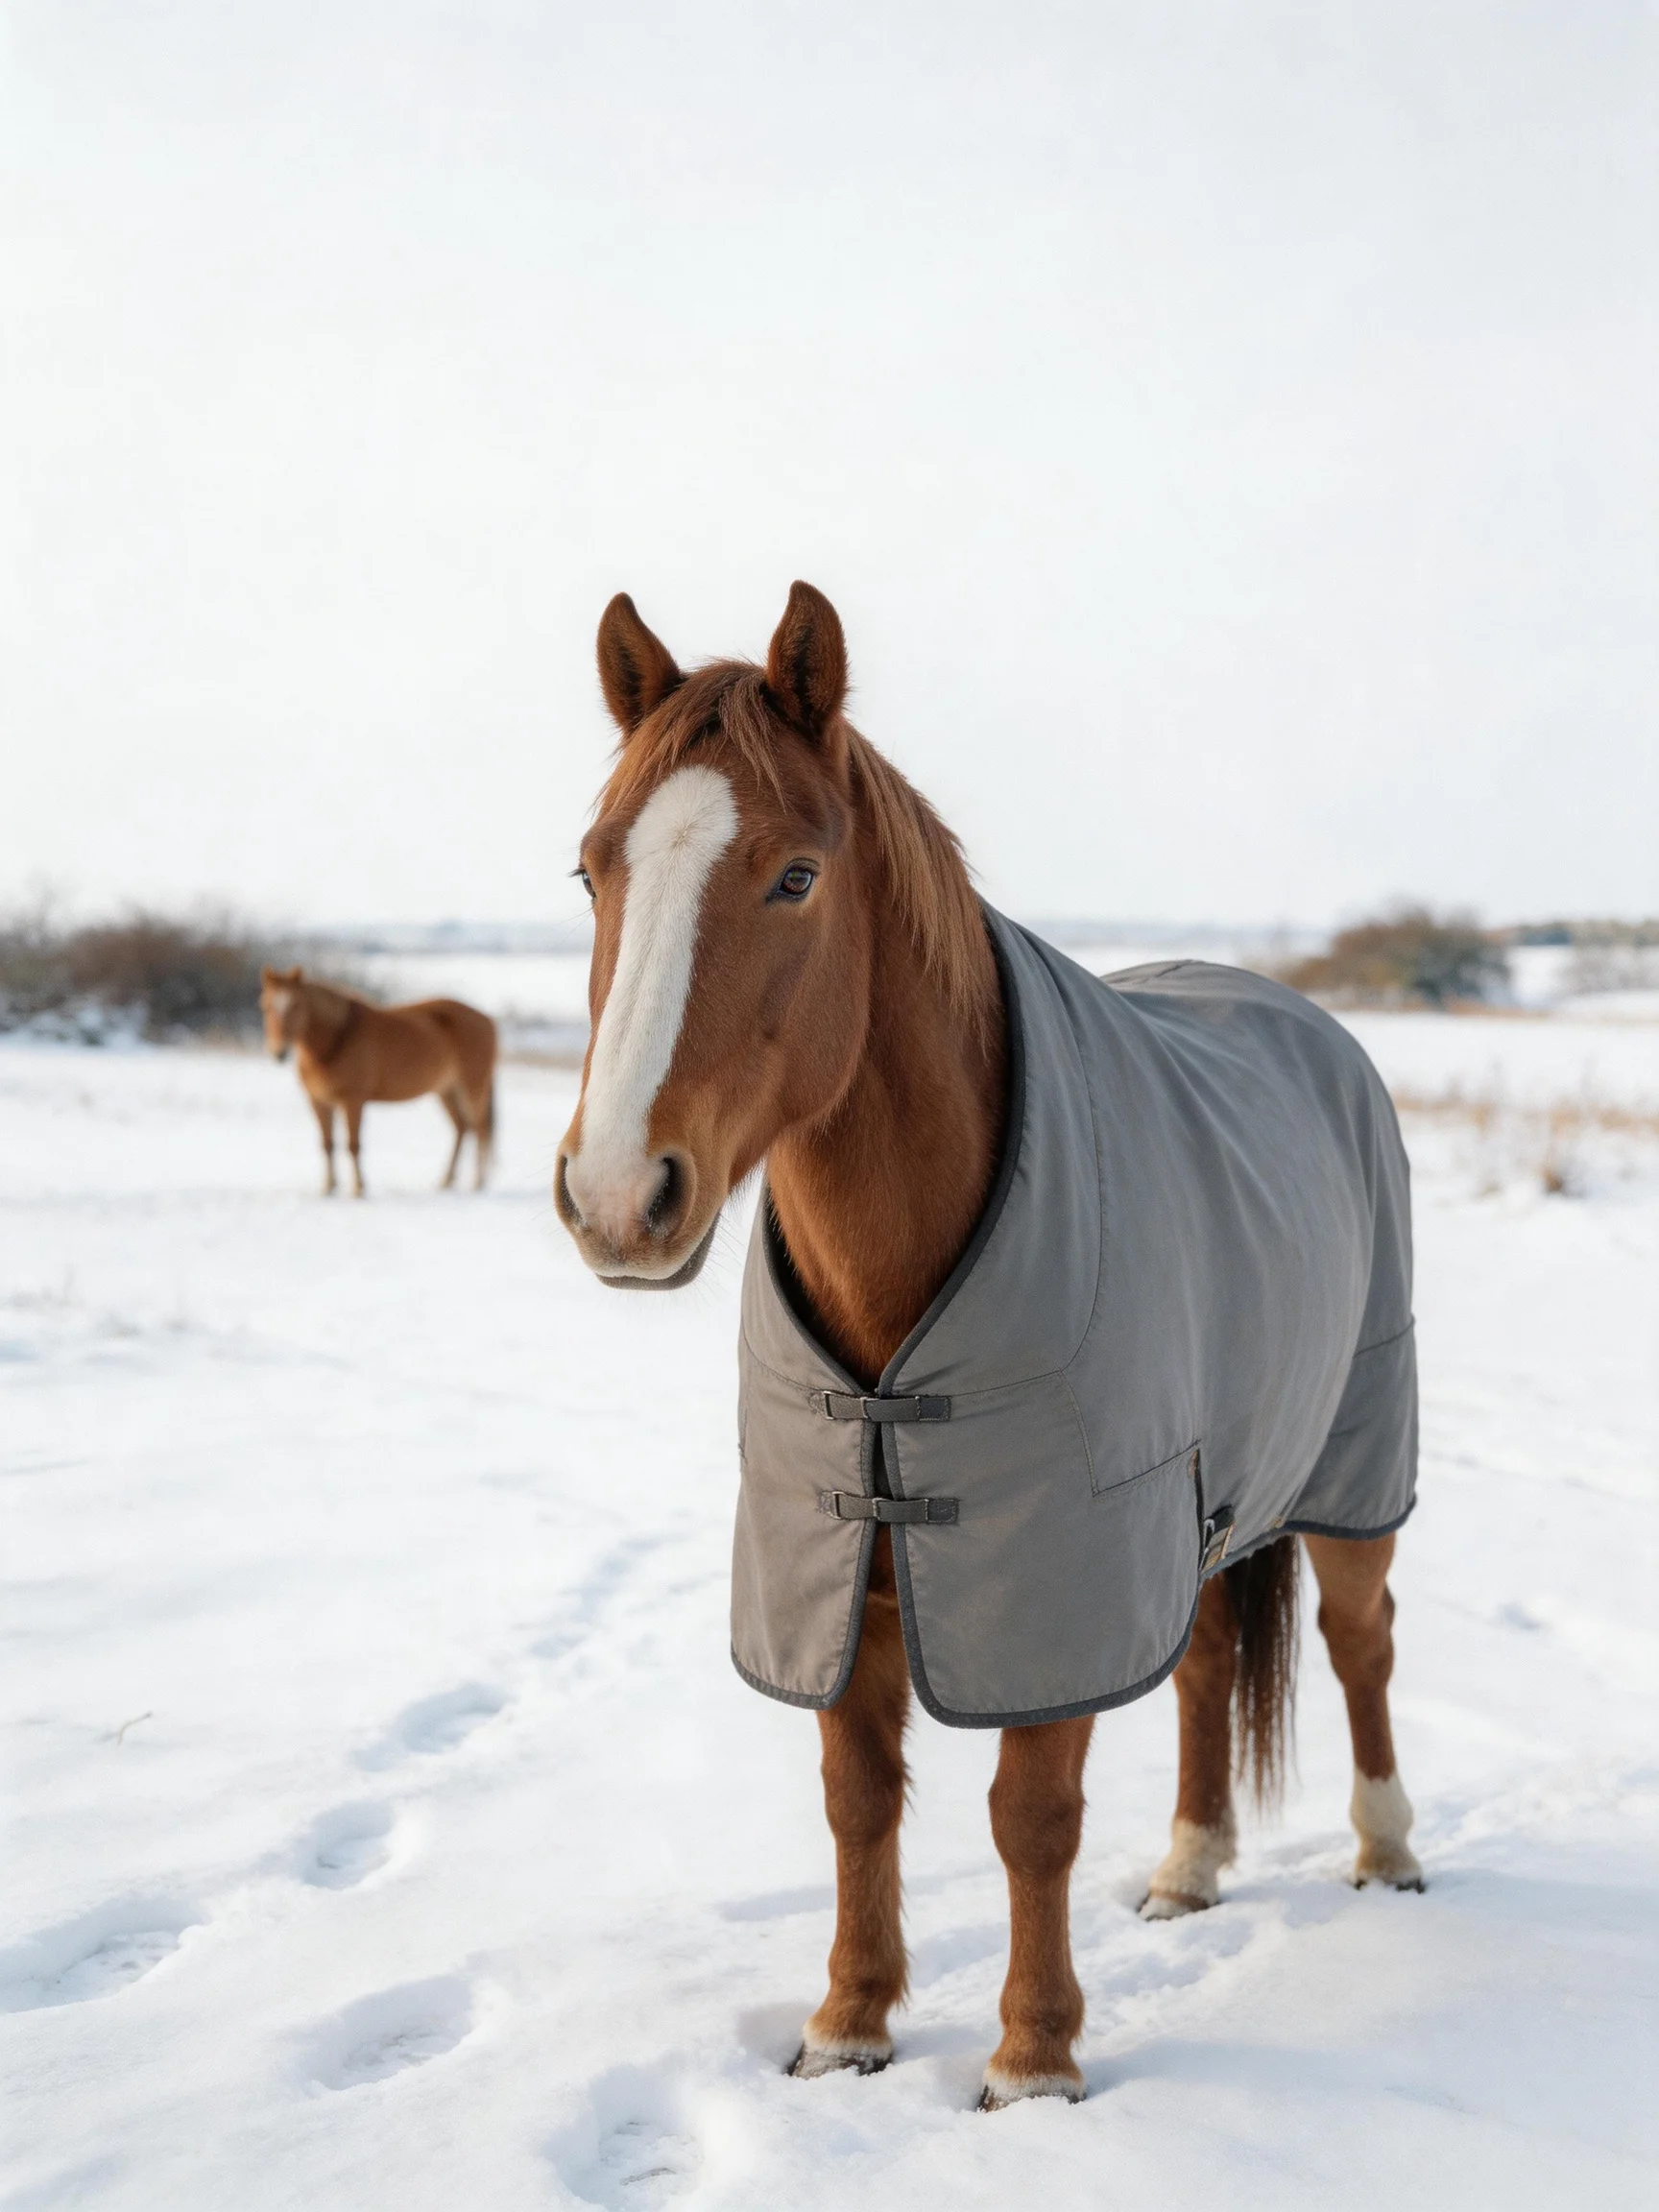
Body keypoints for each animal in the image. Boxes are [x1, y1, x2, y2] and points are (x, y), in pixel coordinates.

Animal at [259, 968, 497, 1198]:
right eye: (266, 1007)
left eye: (296, 1004)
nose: (279, 1052)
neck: (338, 1038)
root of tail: (487, 1019)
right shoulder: (318, 1101)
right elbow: (327, 1144)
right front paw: (328, 1187)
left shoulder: (353, 1100)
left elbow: (353, 1145)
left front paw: (358, 1188)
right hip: (446, 1090)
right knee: (462, 1128)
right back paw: (447, 1180)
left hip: (472, 1087)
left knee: (480, 1128)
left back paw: (478, 1182)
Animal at [554, 583, 1423, 2110]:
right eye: (593, 872)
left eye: (795, 877)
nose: (614, 1195)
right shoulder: (840, 1560)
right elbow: (857, 1799)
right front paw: (847, 2025)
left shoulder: (1053, 1570)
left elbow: (1031, 1811)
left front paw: (1033, 2058)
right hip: (1197, 1500)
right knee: (1206, 1662)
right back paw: (1190, 1867)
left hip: (1348, 1464)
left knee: (1360, 1642)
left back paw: (1386, 1848)